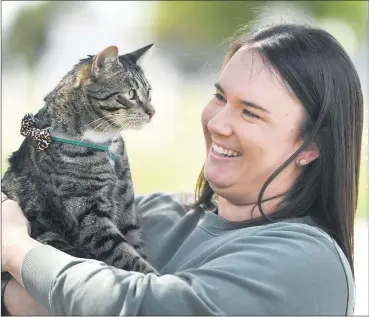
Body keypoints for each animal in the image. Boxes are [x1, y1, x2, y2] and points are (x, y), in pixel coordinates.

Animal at [1, 44, 160, 292]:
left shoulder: (126, 206)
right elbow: (123, 253)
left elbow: (135, 246)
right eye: (131, 94)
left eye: (149, 92)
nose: (152, 112)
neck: (107, 145)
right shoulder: (89, 214)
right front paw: (158, 278)